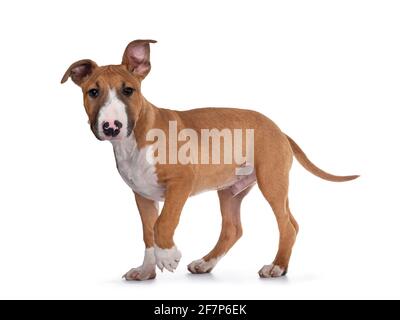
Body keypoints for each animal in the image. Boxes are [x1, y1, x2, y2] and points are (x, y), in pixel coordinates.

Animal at [61, 39, 358, 280]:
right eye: (93, 92)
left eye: (128, 91)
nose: (112, 127)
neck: (137, 136)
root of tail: (279, 129)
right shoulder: (142, 195)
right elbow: (147, 232)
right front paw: (146, 270)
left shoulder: (181, 182)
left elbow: (162, 223)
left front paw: (168, 256)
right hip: (230, 190)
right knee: (232, 229)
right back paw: (205, 264)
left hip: (272, 181)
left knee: (288, 225)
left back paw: (277, 267)